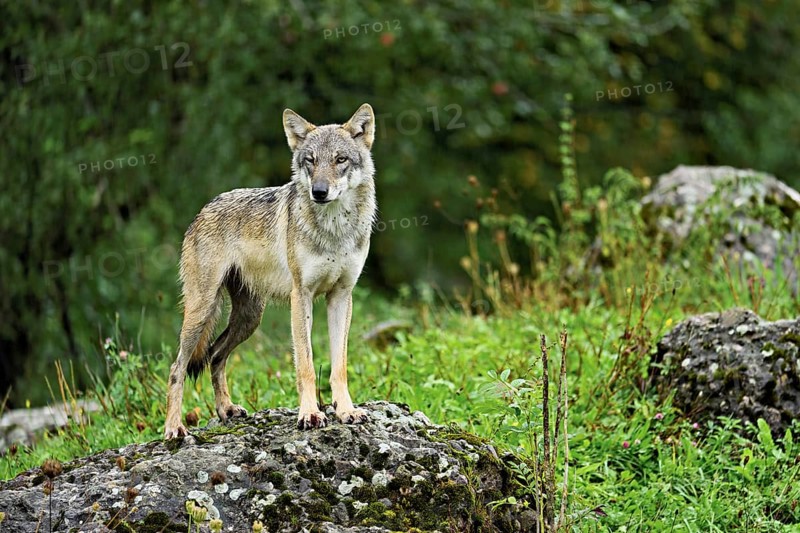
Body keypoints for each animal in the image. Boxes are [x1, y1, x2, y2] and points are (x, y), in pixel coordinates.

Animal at [163, 104, 377, 438]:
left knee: (215, 354)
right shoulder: (301, 296)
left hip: (249, 319)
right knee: (178, 368)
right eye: (311, 160)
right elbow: (306, 365)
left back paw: (226, 410)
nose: (319, 191)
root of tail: (202, 209)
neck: (334, 230)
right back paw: (174, 428)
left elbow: (339, 366)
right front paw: (310, 414)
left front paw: (346, 411)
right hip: (202, 311)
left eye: (340, 159)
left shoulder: (342, 296)